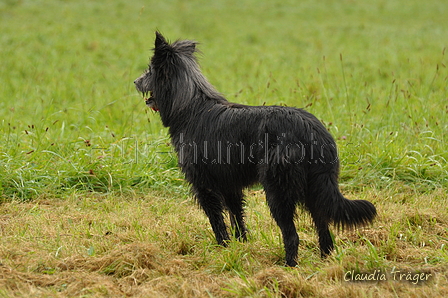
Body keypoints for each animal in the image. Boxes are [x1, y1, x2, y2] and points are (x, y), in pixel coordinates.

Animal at [135, 31, 376, 266]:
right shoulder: (230, 185)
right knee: (324, 228)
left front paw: (222, 248)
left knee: (292, 235)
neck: (189, 107)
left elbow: (217, 221)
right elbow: (237, 218)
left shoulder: (204, 185)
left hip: (278, 189)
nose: (135, 81)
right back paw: (326, 262)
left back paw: (288, 266)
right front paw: (240, 247)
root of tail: (313, 130)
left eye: (150, 70)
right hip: (315, 189)